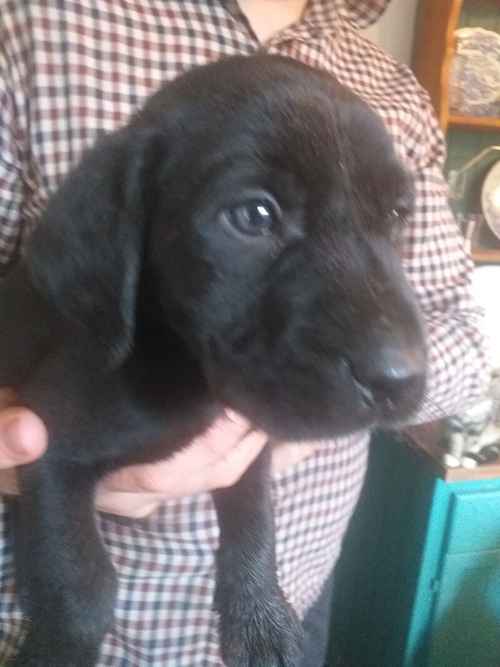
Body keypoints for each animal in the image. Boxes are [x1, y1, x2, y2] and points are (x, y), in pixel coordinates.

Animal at [0, 54, 426, 664]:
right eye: (253, 216)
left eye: (396, 215)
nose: (400, 380)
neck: (185, 371)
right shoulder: (51, 446)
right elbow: (83, 588)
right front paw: (54, 652)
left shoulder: (250, 444)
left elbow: (254, 525)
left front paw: (259, 618)